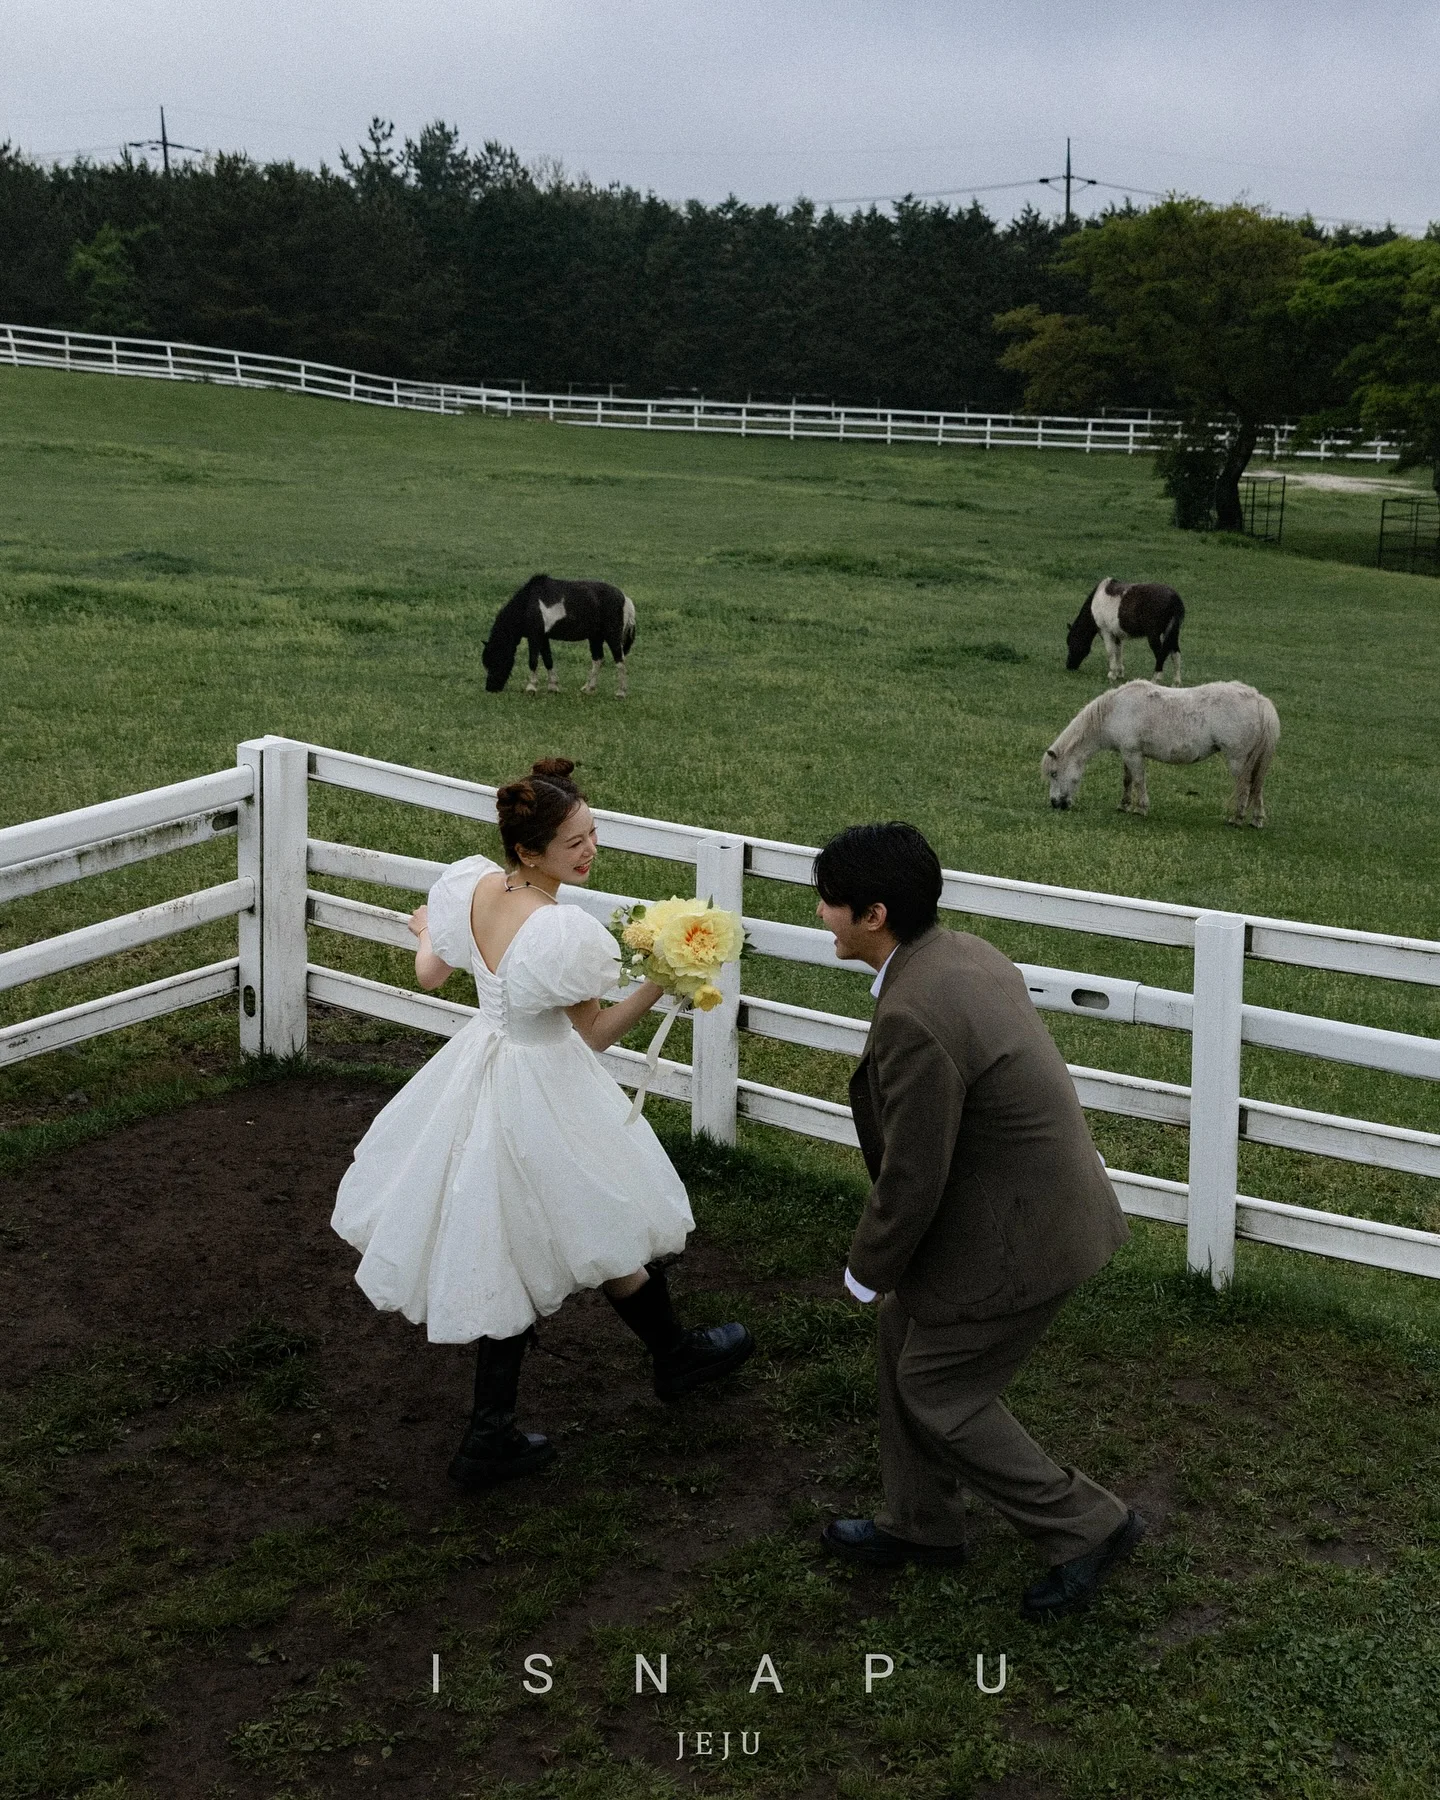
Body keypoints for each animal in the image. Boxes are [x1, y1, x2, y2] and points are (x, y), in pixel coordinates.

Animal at [482, 576, 637, 694]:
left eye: (495, 659)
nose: (490, 688)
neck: (528, 604)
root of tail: (625, 598)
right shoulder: (543, 638)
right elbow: (548, 660)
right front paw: (553, 687)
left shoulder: (535, 637)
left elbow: (533, 661)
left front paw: (531, 687)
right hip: (595, 637)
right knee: (598, 660)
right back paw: (588, 688)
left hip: (612, 637)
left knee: (620, 661)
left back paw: (621, 692)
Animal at [1044, 676, 1274, 824]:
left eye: (1054, 773)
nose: (1055, 804)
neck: (1115, 710)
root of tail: (1259, 700)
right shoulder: (1127, 753)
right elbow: (1128, 780)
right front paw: (1124, 805)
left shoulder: (1133, 754)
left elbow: (1139, 780)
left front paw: (1141, 808)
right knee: (1257, 787)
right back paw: (1256, 819)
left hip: (1238, 760)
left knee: (1245, 786)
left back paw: (1237, 818)